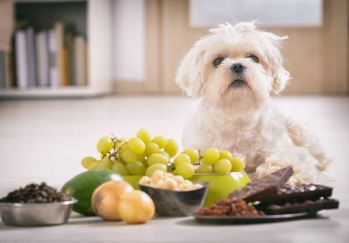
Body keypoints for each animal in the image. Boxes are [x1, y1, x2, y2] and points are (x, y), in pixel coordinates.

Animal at [177, 22, 328, 183]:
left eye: (253, 58)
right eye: (217, 61)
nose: (237, 65)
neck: (237, 114)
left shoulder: (287, 150)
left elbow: (289, 160)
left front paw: (276, 171)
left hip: (297, 128)